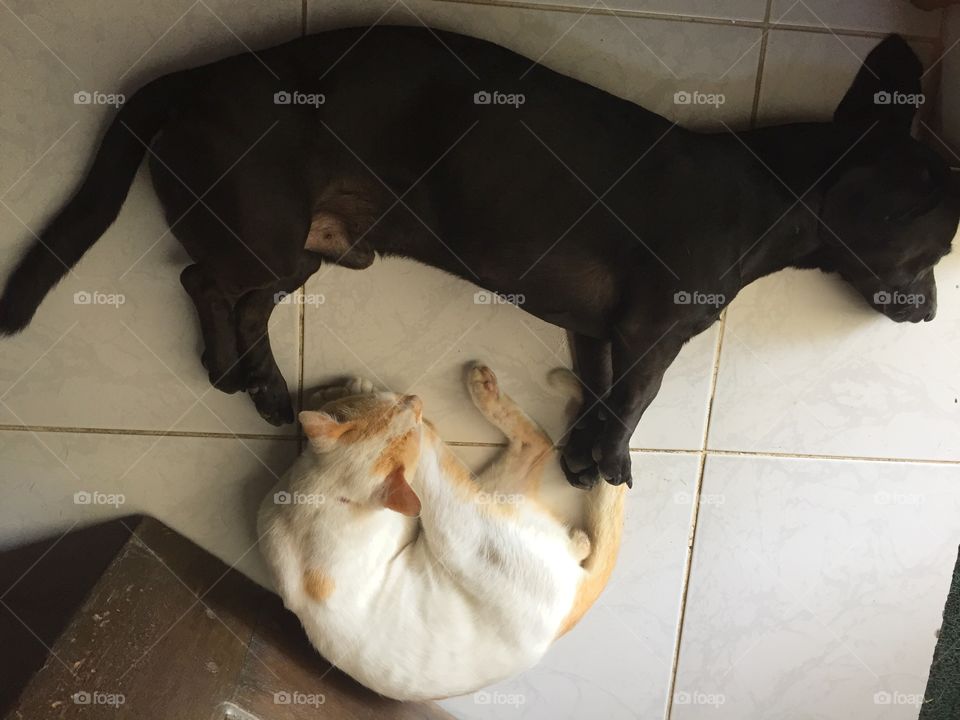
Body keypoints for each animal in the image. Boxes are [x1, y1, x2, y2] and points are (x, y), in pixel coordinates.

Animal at [1, 28, 960, 490]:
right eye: (940, 248)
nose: (933, 315)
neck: (780, 192)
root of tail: (195, 78)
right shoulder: (654, 330)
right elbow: (639, 397)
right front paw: (613, 461)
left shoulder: (600, 331)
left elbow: (604, 393)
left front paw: (589, 457)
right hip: (262, 230)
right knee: (204, 280)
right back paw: (231, 368)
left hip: (303, 250)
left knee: (247, 303)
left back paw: (262, 382)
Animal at [258, 362, 628, 700]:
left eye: (394, 403)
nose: (414, 398)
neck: (327, 488)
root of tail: (567, 612)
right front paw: (342, 391)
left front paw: (332, 394)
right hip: (459, 526)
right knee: (536, 445)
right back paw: (481, 388)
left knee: (539, 446)